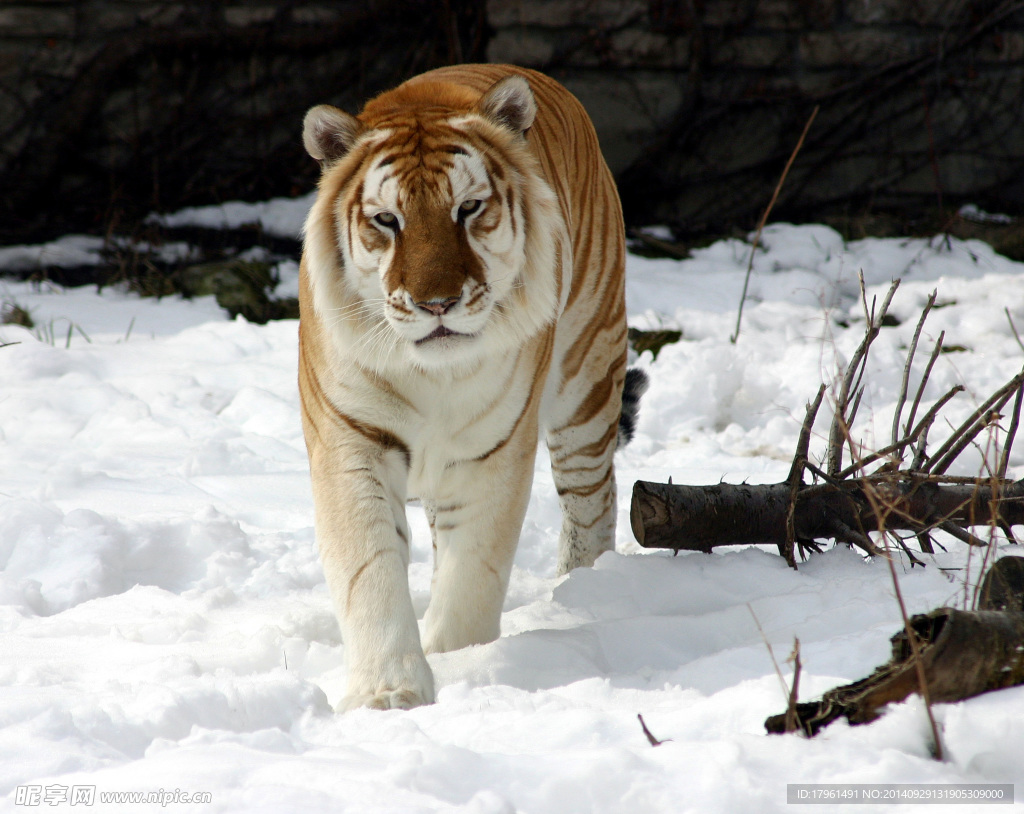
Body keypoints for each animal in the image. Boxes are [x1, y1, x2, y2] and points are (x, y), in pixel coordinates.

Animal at [299, 65, 643, 712]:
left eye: (469, 209)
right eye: (387, 220)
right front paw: (390, 693)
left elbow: (473, 572)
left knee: (594, 497)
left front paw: (459, 663)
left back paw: (587, 589)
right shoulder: (350, 440)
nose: (438, 303)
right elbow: (370, 568)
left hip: (586, 379)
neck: (432, 375)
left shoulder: (494, 450)